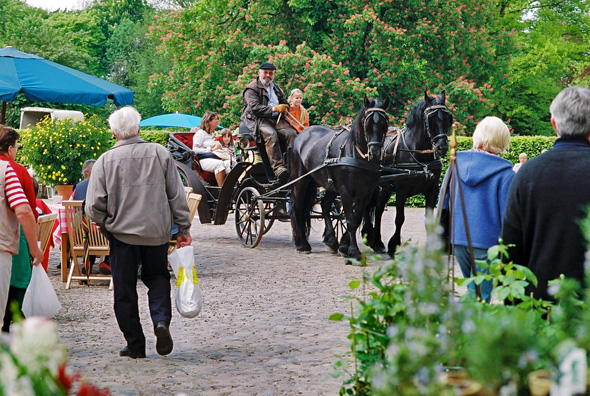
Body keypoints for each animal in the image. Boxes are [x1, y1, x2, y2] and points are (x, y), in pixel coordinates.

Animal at [292, 97, 394, 262]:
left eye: (385, 122)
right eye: (366, 122)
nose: (375, 153)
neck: (356, 154)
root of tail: (301, 135)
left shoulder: (366, 193)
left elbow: (356, 218)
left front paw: (345, 247)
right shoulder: (346, 191)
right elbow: (351, 220)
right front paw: (353, 251)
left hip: (326, 184)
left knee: (325, 205)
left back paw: (331, 241)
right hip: (301, 181)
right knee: (298, 207)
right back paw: (302, 244)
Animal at [364, 91, 456, 255]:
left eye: (447, 118)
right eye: (430, 118)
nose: (442, 147)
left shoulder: (432, 190)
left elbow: (428, 220)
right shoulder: (401, 191)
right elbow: (399, 218)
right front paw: (394, 245)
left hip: (386, 187)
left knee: (379, 209)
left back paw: (378, 242)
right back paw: (370, 237)